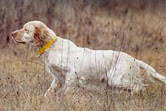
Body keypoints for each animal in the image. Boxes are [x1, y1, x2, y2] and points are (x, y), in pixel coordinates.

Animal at [11, 20, 165, 96]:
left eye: (26, 30)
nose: (12, 34)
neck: (52, 46)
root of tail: (134, 59)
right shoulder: (58, 78)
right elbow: (49, 92)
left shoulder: (72, 74)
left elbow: (66, 91)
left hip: (116, 79)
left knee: (139, 86)